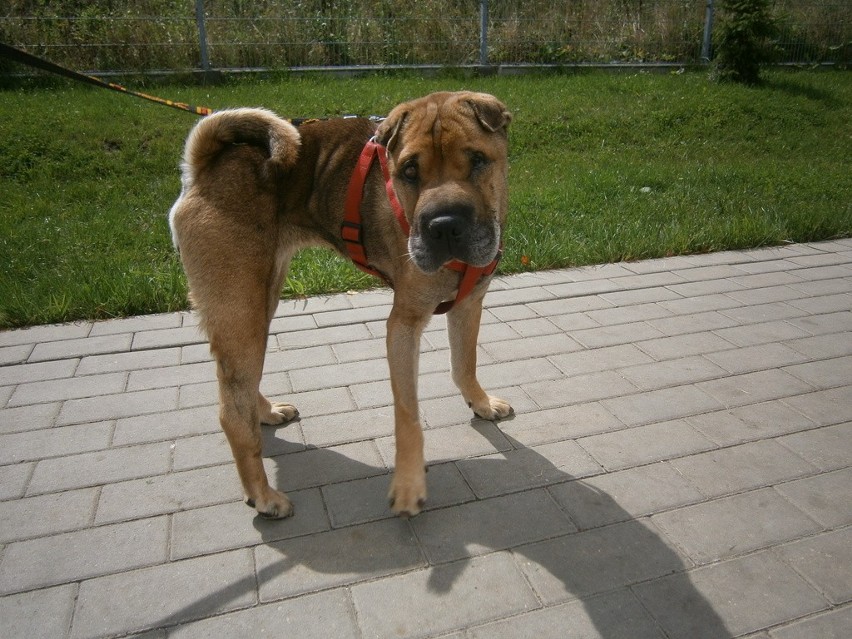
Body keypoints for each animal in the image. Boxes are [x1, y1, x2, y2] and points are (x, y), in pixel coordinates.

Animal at [168, 91, 512, 520]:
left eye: (478, 160)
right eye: (409, 171)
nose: (444, 225)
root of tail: (201, 170)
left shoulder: (470, 302)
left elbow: (465, 364)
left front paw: (480, 403)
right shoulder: (404, 324)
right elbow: (408, 414)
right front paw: (408, 485)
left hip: (259, 299)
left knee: (241, 384)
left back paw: (265, 413)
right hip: (240, 306)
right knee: (231, 410)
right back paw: (263, 496)